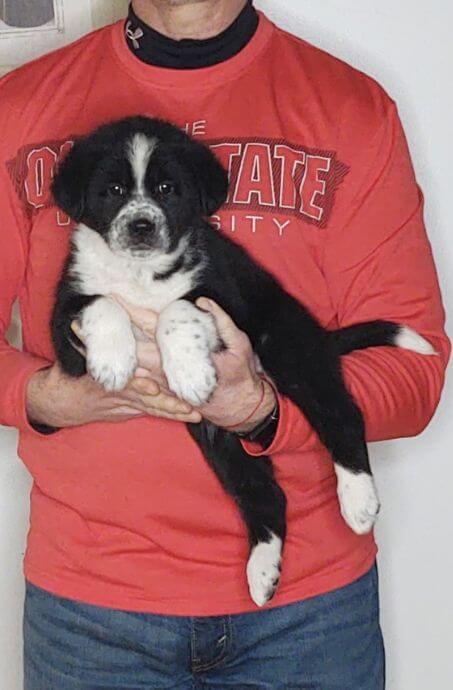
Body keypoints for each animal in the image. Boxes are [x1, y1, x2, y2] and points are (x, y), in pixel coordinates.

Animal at [50, 115, 434, 604]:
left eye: (167, 189)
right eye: (114, 190)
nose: (141, 226)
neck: (141, 272)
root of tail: (319, 335)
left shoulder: (222, 296)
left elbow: (177, 308)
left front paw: (189, 372)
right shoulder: (63, 326)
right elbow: (101, 302)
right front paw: (113, 363)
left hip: (289, 350)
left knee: (341, 415)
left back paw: (359, 500)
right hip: (219, 439)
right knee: (267, 495)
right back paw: (262, 572)